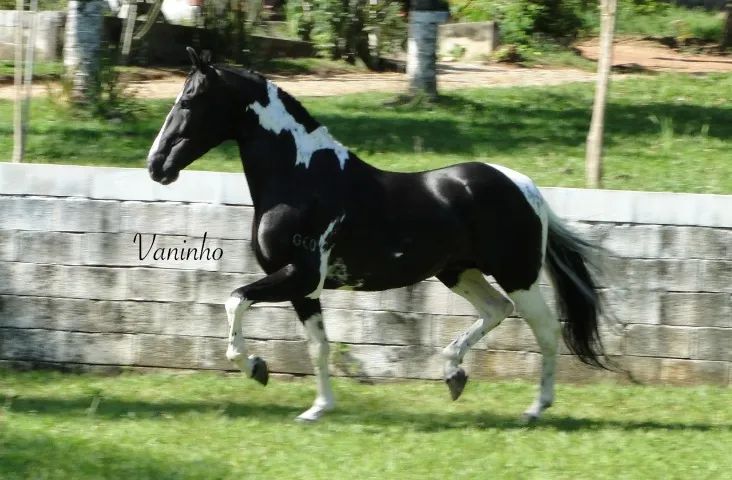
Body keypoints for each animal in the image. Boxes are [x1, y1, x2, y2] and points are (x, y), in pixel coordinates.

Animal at [146, 47, 607, 423]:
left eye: (188, 100)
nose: (156, 166)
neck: (302, 179)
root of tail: (524, 186)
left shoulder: (299, 276)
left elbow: (235, 300)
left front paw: (255, 367)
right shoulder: (304, 288)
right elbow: (318, 347)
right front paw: (318, 409)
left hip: (517, 274)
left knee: (545, 330)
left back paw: (535, 408)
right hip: (458, 272)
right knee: (497, 310)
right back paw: (454, 374)